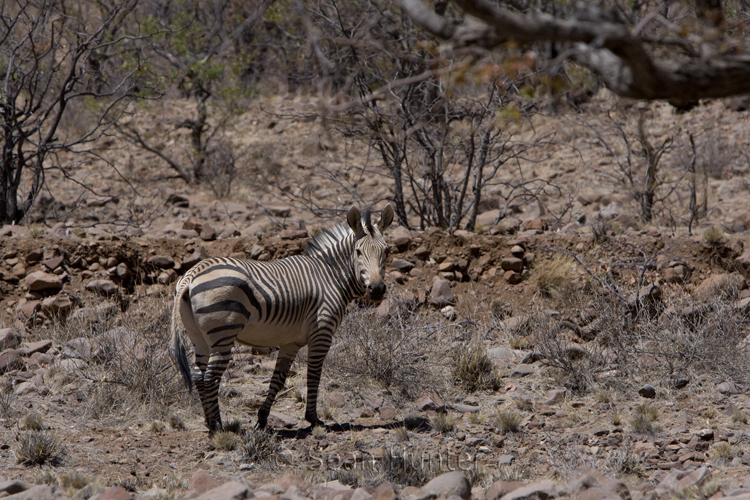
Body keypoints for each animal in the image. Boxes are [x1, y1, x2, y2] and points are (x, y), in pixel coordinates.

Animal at [170, 204, 394, 432]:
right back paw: (217, 426)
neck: (331, 277)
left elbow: (278, 379)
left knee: (198, 375)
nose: (377, 290)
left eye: (386, 251)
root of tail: (192, 274)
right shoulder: (322, 333)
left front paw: (262, 418)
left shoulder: (291, 342)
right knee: (210, 378)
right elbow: (314, 375)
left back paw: (209, 422)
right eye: (358, 252)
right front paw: (313, 419)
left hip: (198, 337)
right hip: (222, 334)